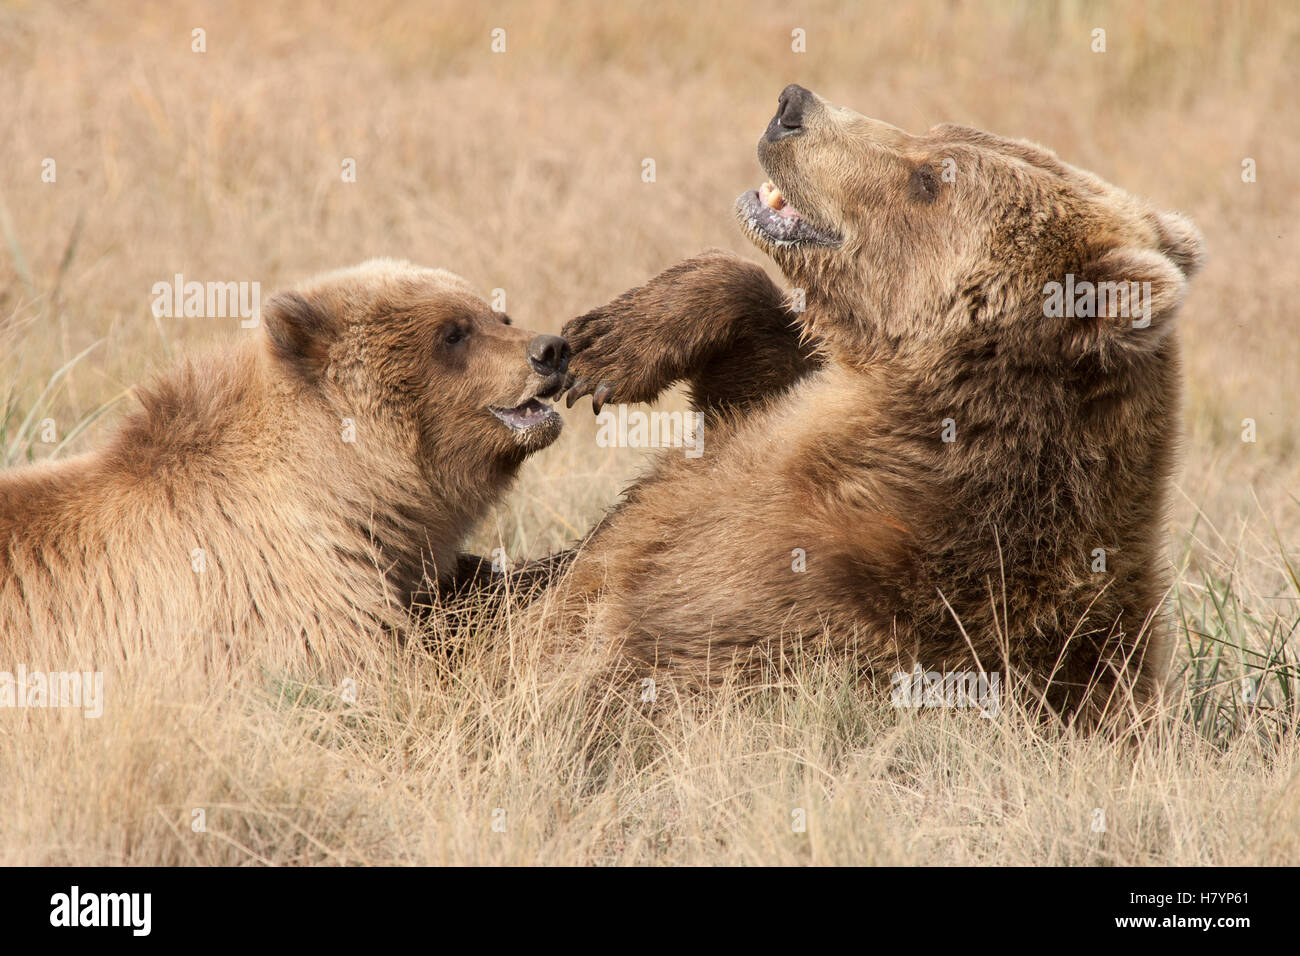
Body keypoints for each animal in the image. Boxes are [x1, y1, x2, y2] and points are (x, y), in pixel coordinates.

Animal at [549, 85, 1204, 726]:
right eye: (936, 131)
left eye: (930, 181)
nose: (791, 105)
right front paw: (606, 345)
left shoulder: (815, 600)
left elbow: (627, 659)